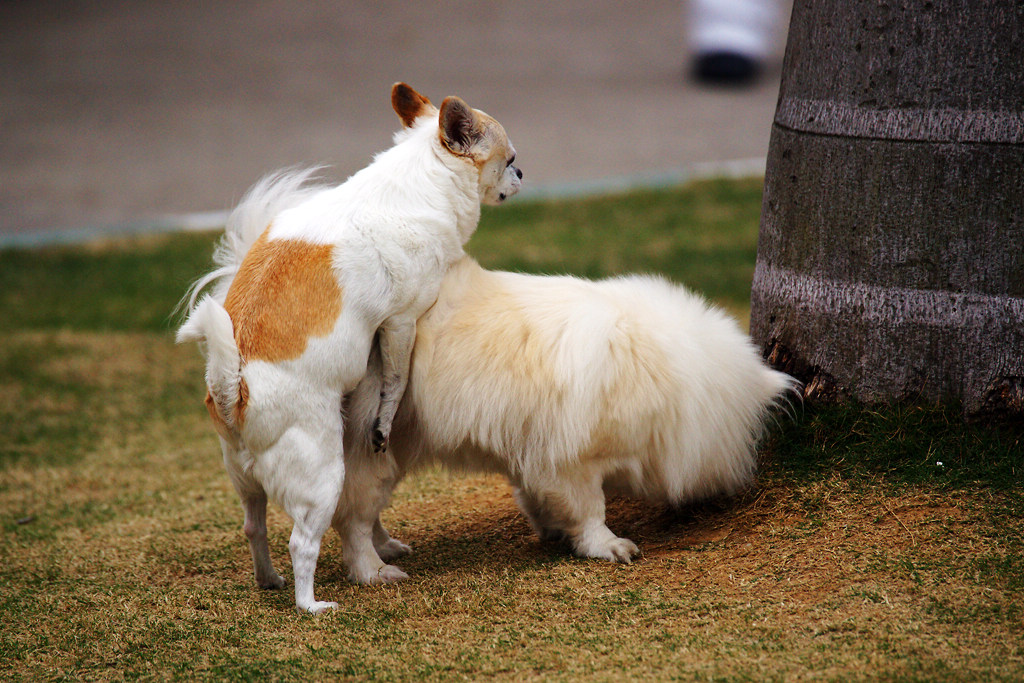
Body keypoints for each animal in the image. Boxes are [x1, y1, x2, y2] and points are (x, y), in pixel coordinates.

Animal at [177, 85, 524, 614]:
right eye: (510, 160)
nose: (522, 174)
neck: (416, 183)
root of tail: (233, 391)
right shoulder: (401, 322)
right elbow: (395, 382)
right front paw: (383, 422)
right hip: (321, 476)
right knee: (302, 541)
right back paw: (310, 603)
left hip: (243, 477)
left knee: (254, 526)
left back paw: (268, 579)